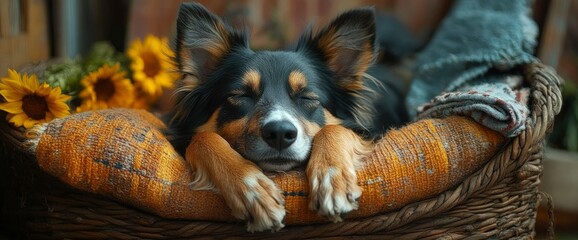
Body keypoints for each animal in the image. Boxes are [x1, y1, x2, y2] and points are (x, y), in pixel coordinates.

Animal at [166, 2, 404, 232]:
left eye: (307, 97)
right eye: (241, 95)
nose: (280, 133)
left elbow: (334, 128)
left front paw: (332, 180)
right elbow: (203, 138)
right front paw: (252, 190)